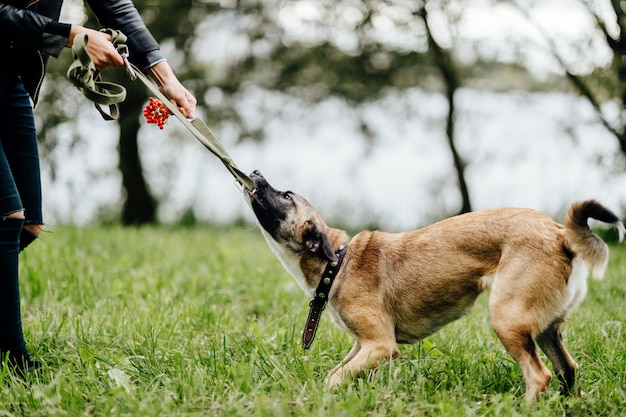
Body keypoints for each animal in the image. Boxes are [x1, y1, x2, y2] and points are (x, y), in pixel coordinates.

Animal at [243, 169, 620, 400]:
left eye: (286, 195)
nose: (256, 173)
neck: (338, 261)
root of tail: (560, 234)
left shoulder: (380, 346)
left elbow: (333, 378)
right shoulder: (362, 346)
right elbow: (339, 372)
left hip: (507, 319)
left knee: (539, 377)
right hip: (543, 329)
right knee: (567, 370)